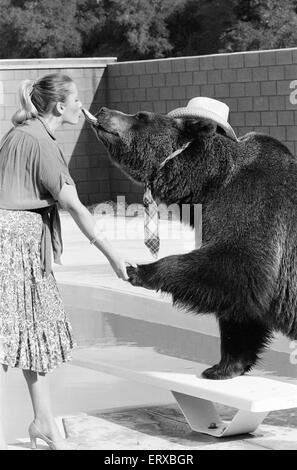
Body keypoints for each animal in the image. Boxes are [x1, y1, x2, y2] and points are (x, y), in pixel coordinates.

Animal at [81, 104, 297, 380]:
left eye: (141, 116)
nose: (103, 109)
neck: (208, 184)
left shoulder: (253, 206)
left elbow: (240, 264)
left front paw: (140, 270)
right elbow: (241, 309)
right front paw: (224, 366)